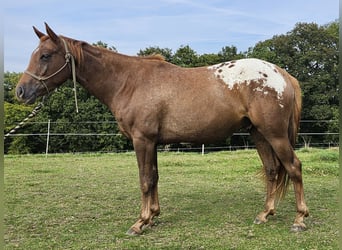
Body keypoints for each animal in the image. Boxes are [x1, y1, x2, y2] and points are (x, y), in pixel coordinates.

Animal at [16, 23, 308, 234]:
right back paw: (264, 214)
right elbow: (154, 177)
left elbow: (145, 180)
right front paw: (153, 217)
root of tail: (282, 74)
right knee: (272, 171)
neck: (129, 82)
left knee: (293, 167)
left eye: (45, 55)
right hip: (259, 134)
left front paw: (140, 222)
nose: (21, 91)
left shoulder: (142, 140)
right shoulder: (152, 142)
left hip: (275, 134)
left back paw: (299, 219)